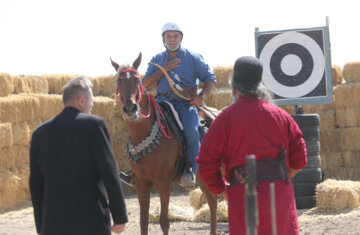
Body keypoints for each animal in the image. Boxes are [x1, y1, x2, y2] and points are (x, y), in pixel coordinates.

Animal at [111, 53, 218, 235]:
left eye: (137, 79)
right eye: (119, 80)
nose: (131, 108)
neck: (143, 134)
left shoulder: (163, 182)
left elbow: (164, 221)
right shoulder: (141, 183)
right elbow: (143, 220)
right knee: (212, 202)